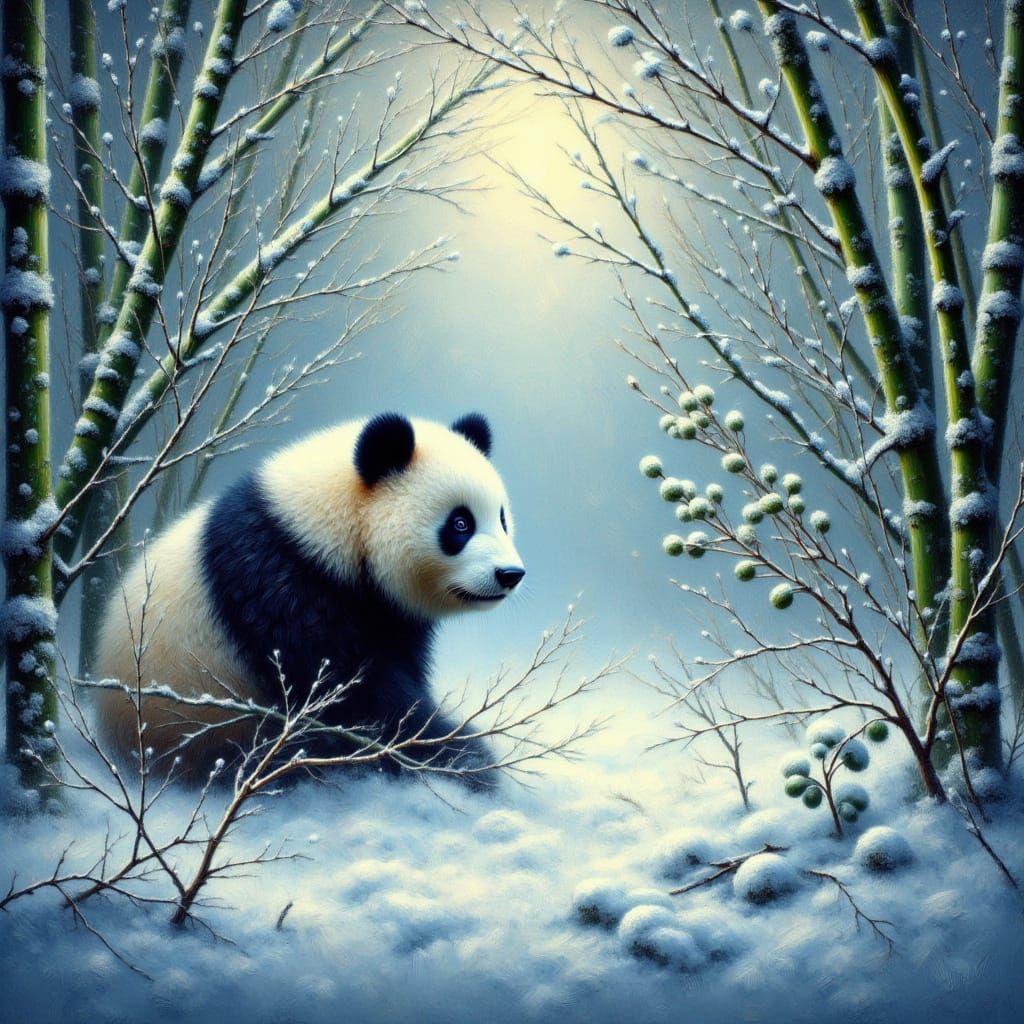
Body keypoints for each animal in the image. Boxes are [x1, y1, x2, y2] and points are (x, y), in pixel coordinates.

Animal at [94, 412, 525, 780]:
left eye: (503, 518)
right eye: (460, 523)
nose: (510, 574)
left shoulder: (390, 615)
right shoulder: (280, 582)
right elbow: (351, 696)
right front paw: (464, 758)